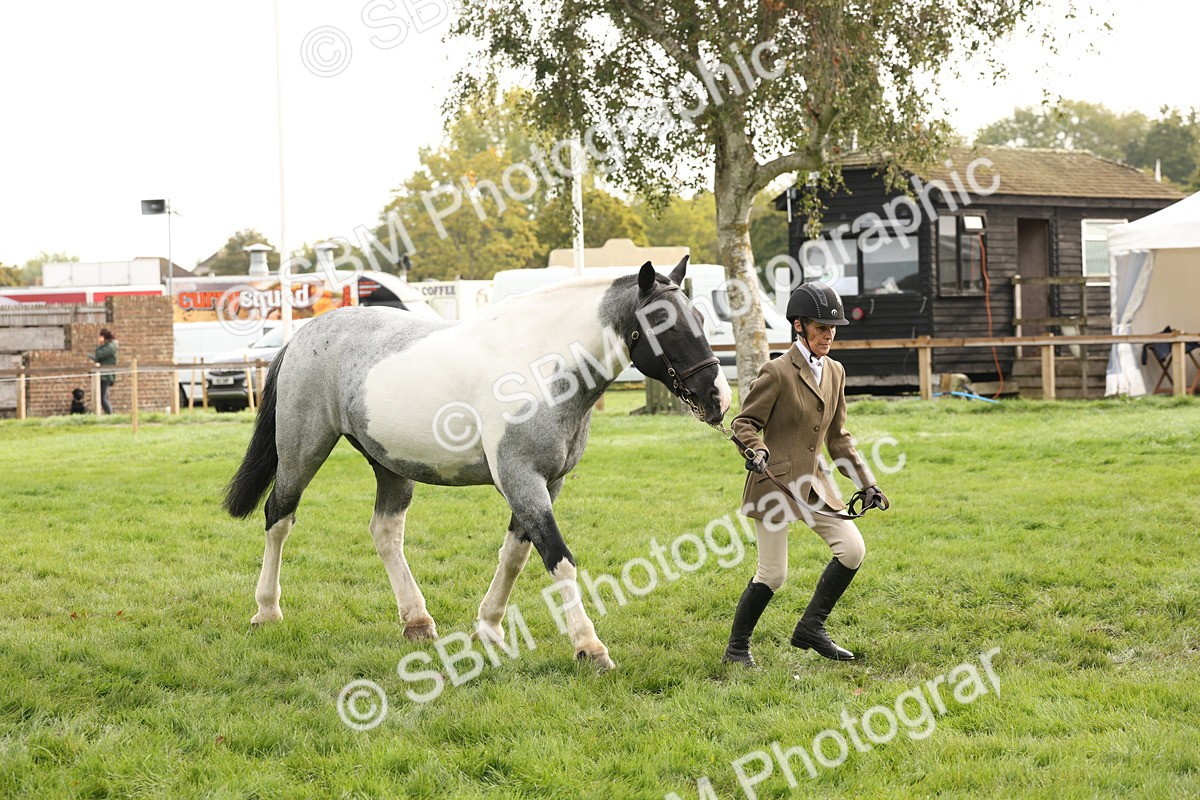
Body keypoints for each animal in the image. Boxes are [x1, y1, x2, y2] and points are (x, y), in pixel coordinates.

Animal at [223, 256, 731, 670]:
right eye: (663, 323)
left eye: (700, 317)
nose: (718, 398)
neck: (542, 364)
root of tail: (302, 336)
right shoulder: (521, 479)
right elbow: (559, 559)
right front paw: (589, 647)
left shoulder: (546, 483)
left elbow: (516, 556)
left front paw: (488, 628)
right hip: (302, 451)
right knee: (279, 517)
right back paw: (266, 610)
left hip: (389, 464)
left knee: (385, 532)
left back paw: (417, 621)